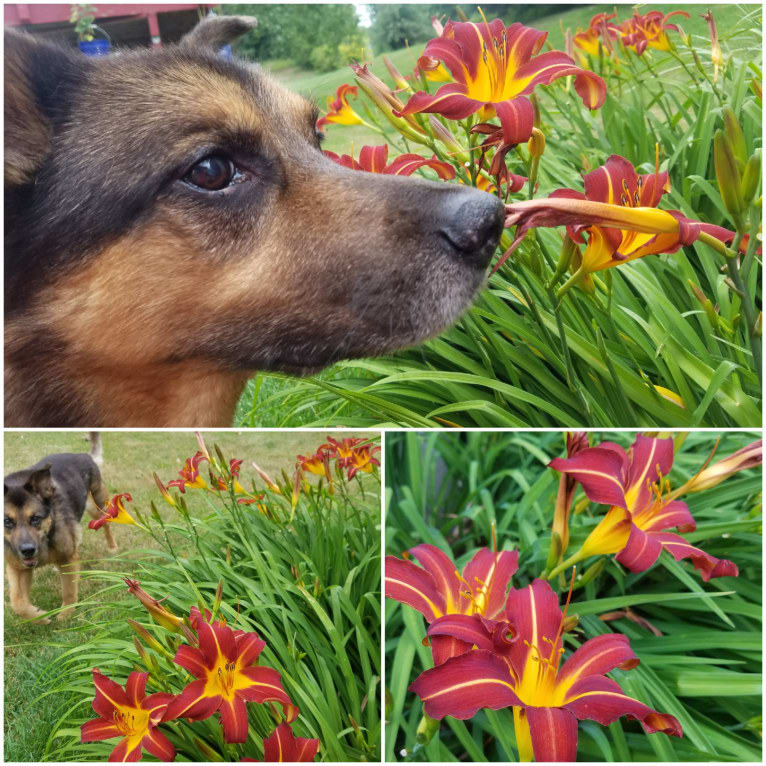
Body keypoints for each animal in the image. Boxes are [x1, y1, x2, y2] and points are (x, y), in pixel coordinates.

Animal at [3, 444, 115, 624]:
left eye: (35, 518)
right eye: (7, 521)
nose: (28, 550)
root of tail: (83, 455)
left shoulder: (68, 557)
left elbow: (69, 590)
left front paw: (66, 615)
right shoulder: (17, 567)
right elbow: (18, 603)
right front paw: (40, 617)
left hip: (97, 505)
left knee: (106, 523)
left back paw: (112, 548)